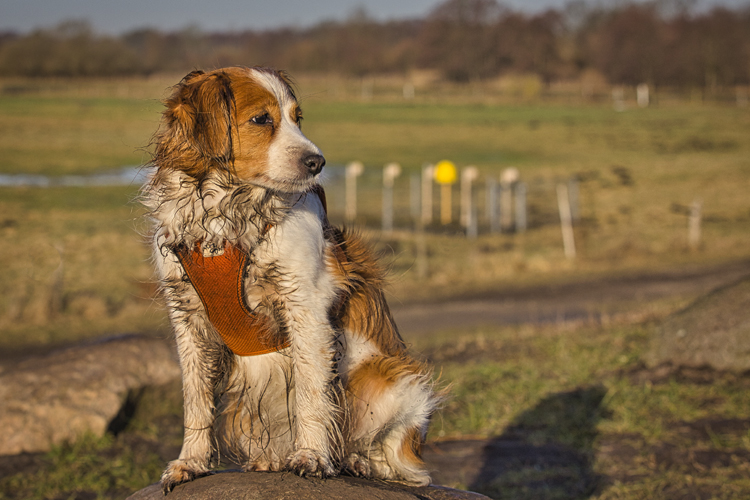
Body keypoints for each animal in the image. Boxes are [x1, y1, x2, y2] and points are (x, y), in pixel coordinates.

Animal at [142, 66, 440, 492]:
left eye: (298, 118)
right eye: (261, 119)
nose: (318, 161)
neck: (226, 215)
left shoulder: (306, 306)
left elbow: (311, 394)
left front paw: (312, 456)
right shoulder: (187, 315)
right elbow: (196, 400)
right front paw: (191, 462)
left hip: (390, 381)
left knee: (400, 461)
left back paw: (358, 462)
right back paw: (272, 460)